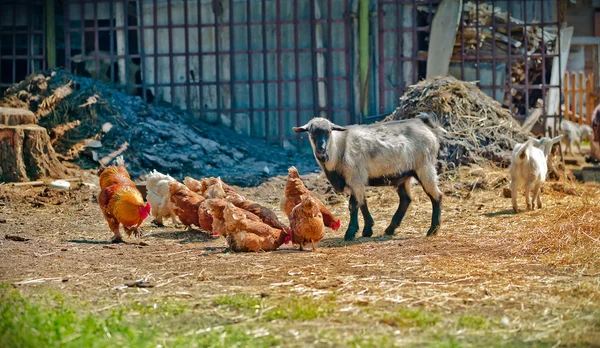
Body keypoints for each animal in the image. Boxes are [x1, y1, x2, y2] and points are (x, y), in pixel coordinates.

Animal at [292, 115, 442, 241]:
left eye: (328, 132)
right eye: (311, 133)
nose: (321, 150)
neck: (339, 149)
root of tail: (426, 127)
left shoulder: (355, 178)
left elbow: (354, 205)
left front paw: (350, 232)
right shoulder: (358, 182)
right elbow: (363, 203)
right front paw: (367, 230)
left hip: (425, 167)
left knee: (436, 196)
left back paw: (433, 230)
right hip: (404, 176)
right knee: (406, 199)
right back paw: (390, 229)